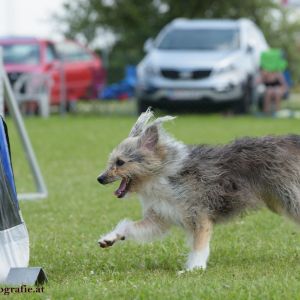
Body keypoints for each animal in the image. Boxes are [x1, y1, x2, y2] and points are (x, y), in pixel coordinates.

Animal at [96, 109, 300, 270]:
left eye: (120, 162)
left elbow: (200, 246)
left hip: (290, 198)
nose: (100, 179)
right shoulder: (159, 218)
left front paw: (194, 268)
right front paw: (111, 237)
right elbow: (129, 226)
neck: (163, 176)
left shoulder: (200, 216)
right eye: (111, 161)